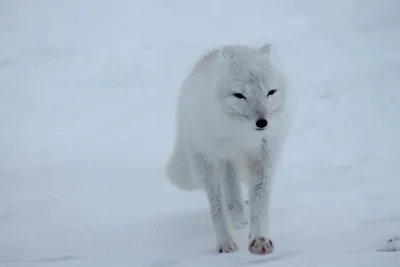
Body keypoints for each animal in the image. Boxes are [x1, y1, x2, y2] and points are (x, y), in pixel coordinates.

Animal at [164, 43, 292, 255]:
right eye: (239, 95)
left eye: (271, 92)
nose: (262, 122)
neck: (243, 137)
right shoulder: (225, 158)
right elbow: (228, 202)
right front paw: (236, 227)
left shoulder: (262, 157)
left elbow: (260, 202)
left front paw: (260, 239)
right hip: (206, 162)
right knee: (218, 203)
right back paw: (227, 239)